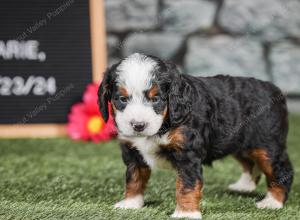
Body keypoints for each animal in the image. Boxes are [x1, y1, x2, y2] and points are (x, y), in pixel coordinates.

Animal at [98, 52, 292, 218]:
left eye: (156, 99)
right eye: (122, 99)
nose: (138, 125)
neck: (165, 123)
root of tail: (274, 89)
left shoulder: (187, 152)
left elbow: (187, 185)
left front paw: (186, 213)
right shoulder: (132, 151)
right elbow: (134, 178)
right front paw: (130, 203)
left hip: (267, 145)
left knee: (282, 170)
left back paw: (272, 202)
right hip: (240, 142)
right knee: (249, 162)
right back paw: (244, 186)